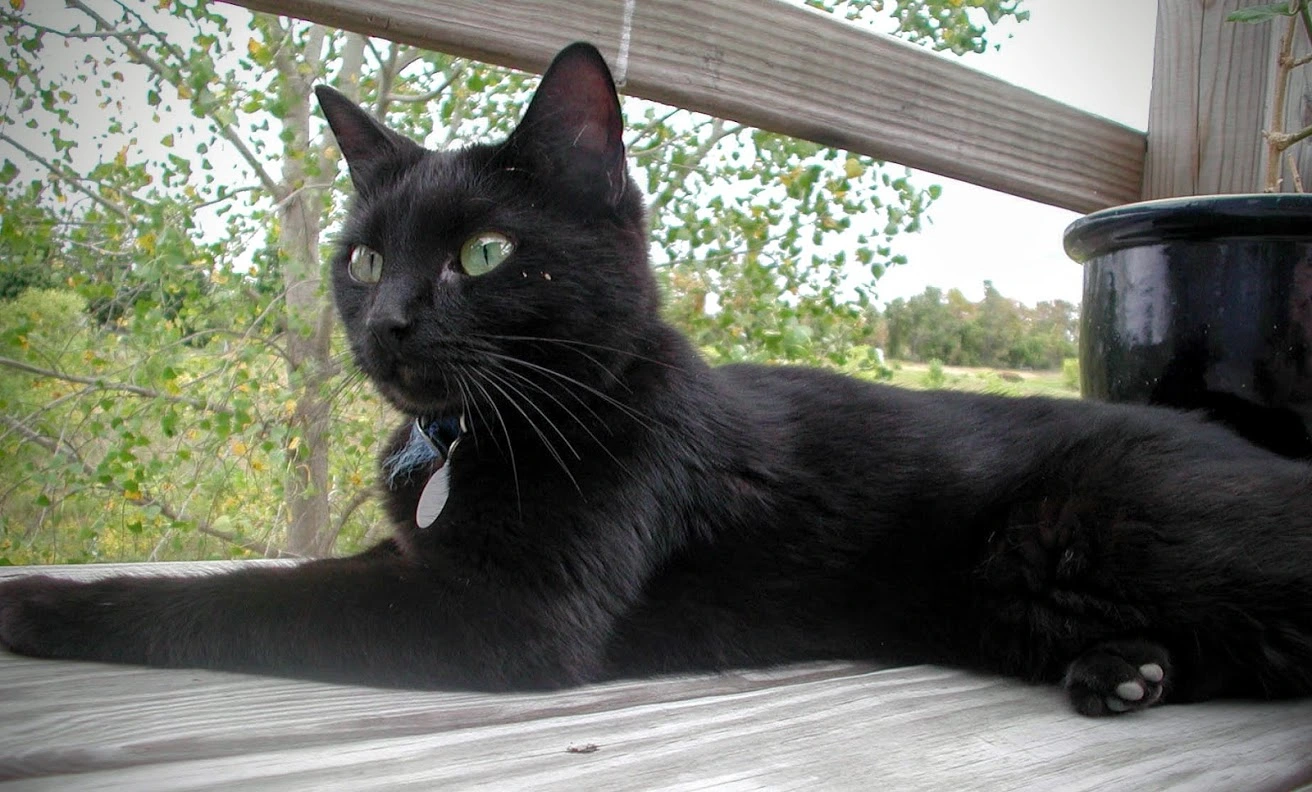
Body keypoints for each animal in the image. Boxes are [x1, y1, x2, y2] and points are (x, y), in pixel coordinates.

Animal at [2, 41, 1312, 718]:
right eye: (363, 258)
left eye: (485, 254)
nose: (387, 322)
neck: (474, 437)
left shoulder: (503, 620)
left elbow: (246, 595)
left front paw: (47, 604)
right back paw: (1126, 672)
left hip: (1107, 529)